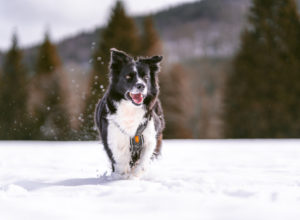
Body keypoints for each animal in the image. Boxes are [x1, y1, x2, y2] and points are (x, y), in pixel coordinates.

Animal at [95, 48, 164, 177]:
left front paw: (134, 176)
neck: (131, 109)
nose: (141, 85)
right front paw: (123, 176)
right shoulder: (112, 138)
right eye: (128, 76)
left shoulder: (150, 137)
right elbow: (120, 162)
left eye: (146, 77)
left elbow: (143, 162)